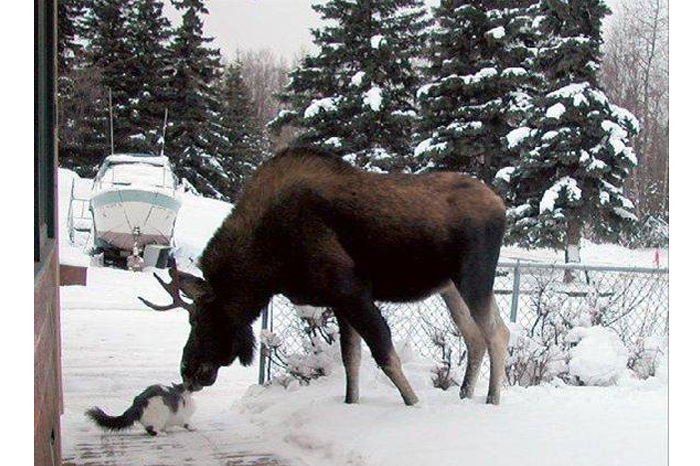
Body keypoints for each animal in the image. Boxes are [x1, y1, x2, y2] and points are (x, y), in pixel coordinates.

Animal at [139, 147, 508, 406]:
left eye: (199, 319)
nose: (188, 371)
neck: (267, 266)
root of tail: (501, 205)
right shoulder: (339, 302)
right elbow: (351, 360)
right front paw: (351, 402)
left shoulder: (352, 290)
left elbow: (385, 354)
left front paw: (414, 404)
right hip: (450, 287)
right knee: (475, 336)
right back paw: (465, 395)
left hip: (474, 277)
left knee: (497, 333)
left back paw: (491, 399)